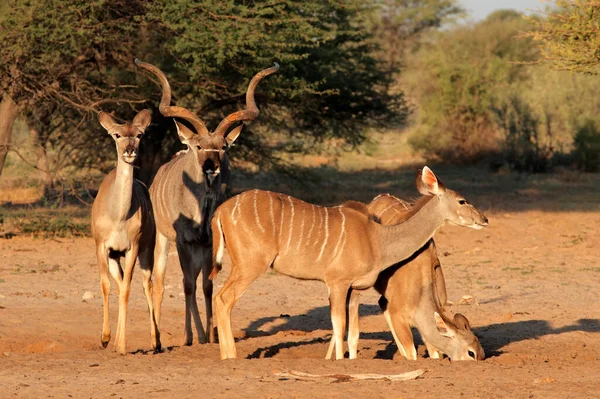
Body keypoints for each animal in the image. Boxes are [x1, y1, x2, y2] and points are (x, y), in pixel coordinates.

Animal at [91, 108, 157, 354]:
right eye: (117, 135)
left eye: (139, 134)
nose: (130, 151)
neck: (118, 215)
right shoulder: (102, 247)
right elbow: (107, 285)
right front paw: (105, 338)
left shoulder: (133, 248)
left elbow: (129, 288)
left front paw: (120, 344)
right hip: (114, 257)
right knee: (119, 285)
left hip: (148, 249)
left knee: (147, 283)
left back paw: (156, 341)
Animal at [136, 58, 278, 346]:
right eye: (200, 146)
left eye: (223, 146)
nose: (211, 166)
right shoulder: (182, 241)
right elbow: (187, 284)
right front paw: (190, 336)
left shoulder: (209, 242)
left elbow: (207, 285)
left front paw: (211, 335)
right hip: (163, 240)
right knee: (162, 281)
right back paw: (164, 335)